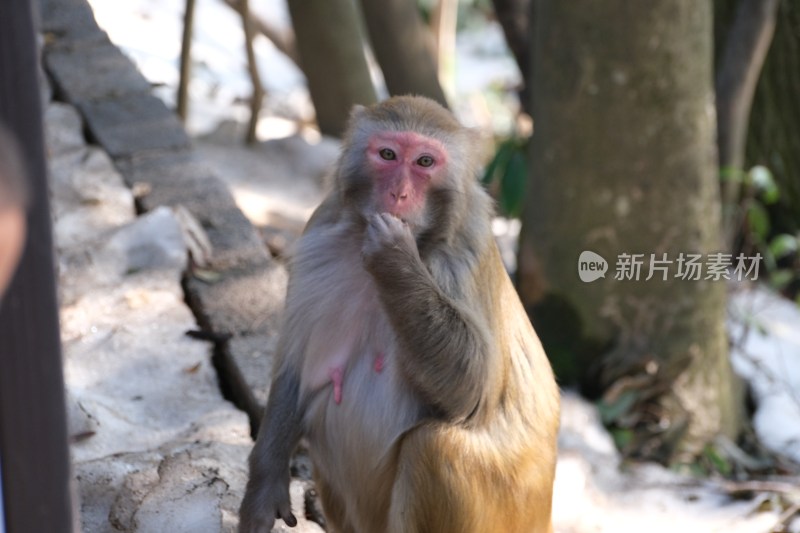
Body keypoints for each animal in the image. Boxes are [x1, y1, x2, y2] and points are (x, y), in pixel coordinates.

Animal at [241, 94, 560, 532]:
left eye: (425, 162)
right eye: (388, 155)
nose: (399, 194)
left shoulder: (466, 251)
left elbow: (476, 391)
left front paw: (394, 259)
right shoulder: (319, 229)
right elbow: (296, 370)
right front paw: (264, 484)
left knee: (435, 445)